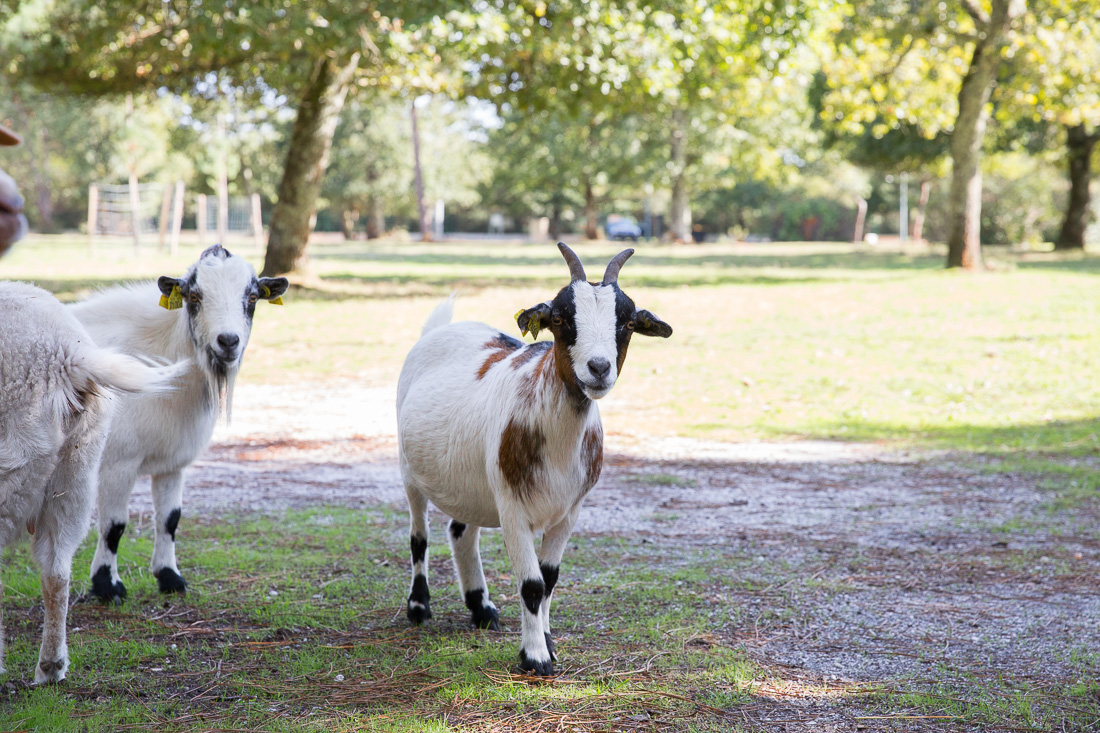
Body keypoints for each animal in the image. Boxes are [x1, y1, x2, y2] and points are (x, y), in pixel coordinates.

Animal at [68, 244, 288, 598]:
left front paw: (169, 577)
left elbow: (170, 519)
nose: (228, 341)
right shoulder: (118, 462)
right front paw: (107, 585)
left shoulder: (173, 462)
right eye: (194, 296)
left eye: (253, 297)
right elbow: (114, 525)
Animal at [396, 241, 668, 673]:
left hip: (471, 480)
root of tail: (442, 328)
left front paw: (549, 643)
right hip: (410, 471)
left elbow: (550, 578)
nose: (599, 368)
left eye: (626, 323)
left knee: (460, 530)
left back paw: (481, 607)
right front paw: (535, 657)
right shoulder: (513, 508)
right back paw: (419, 607)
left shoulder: (570, 510)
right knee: (418, 536)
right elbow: (531, 584)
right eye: (558, 317)